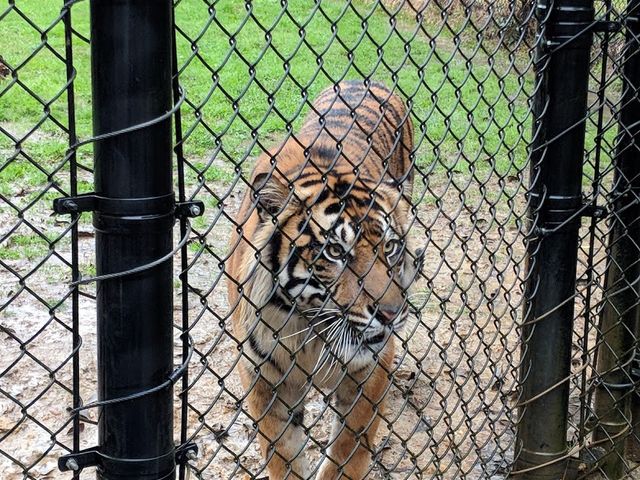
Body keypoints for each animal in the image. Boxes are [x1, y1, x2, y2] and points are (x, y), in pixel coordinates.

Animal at [226, 80, 421, 479]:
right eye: (334, 251)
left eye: (391, 247)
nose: (391, 314)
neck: (310, 330)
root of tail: (369, 80)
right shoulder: (264, 380)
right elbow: (283, 456)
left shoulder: (370, 370)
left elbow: (348, 452)